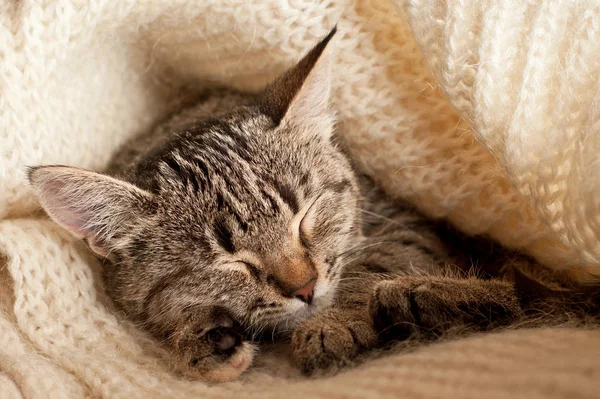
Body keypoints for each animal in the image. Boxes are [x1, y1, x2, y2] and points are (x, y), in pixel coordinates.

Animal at [24, 27, 596, 382]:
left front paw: (334, 322)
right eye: (228, 262)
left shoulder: (404, 222)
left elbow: (371, 265)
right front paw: (202, 336)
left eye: (305, 216)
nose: (305, 288)